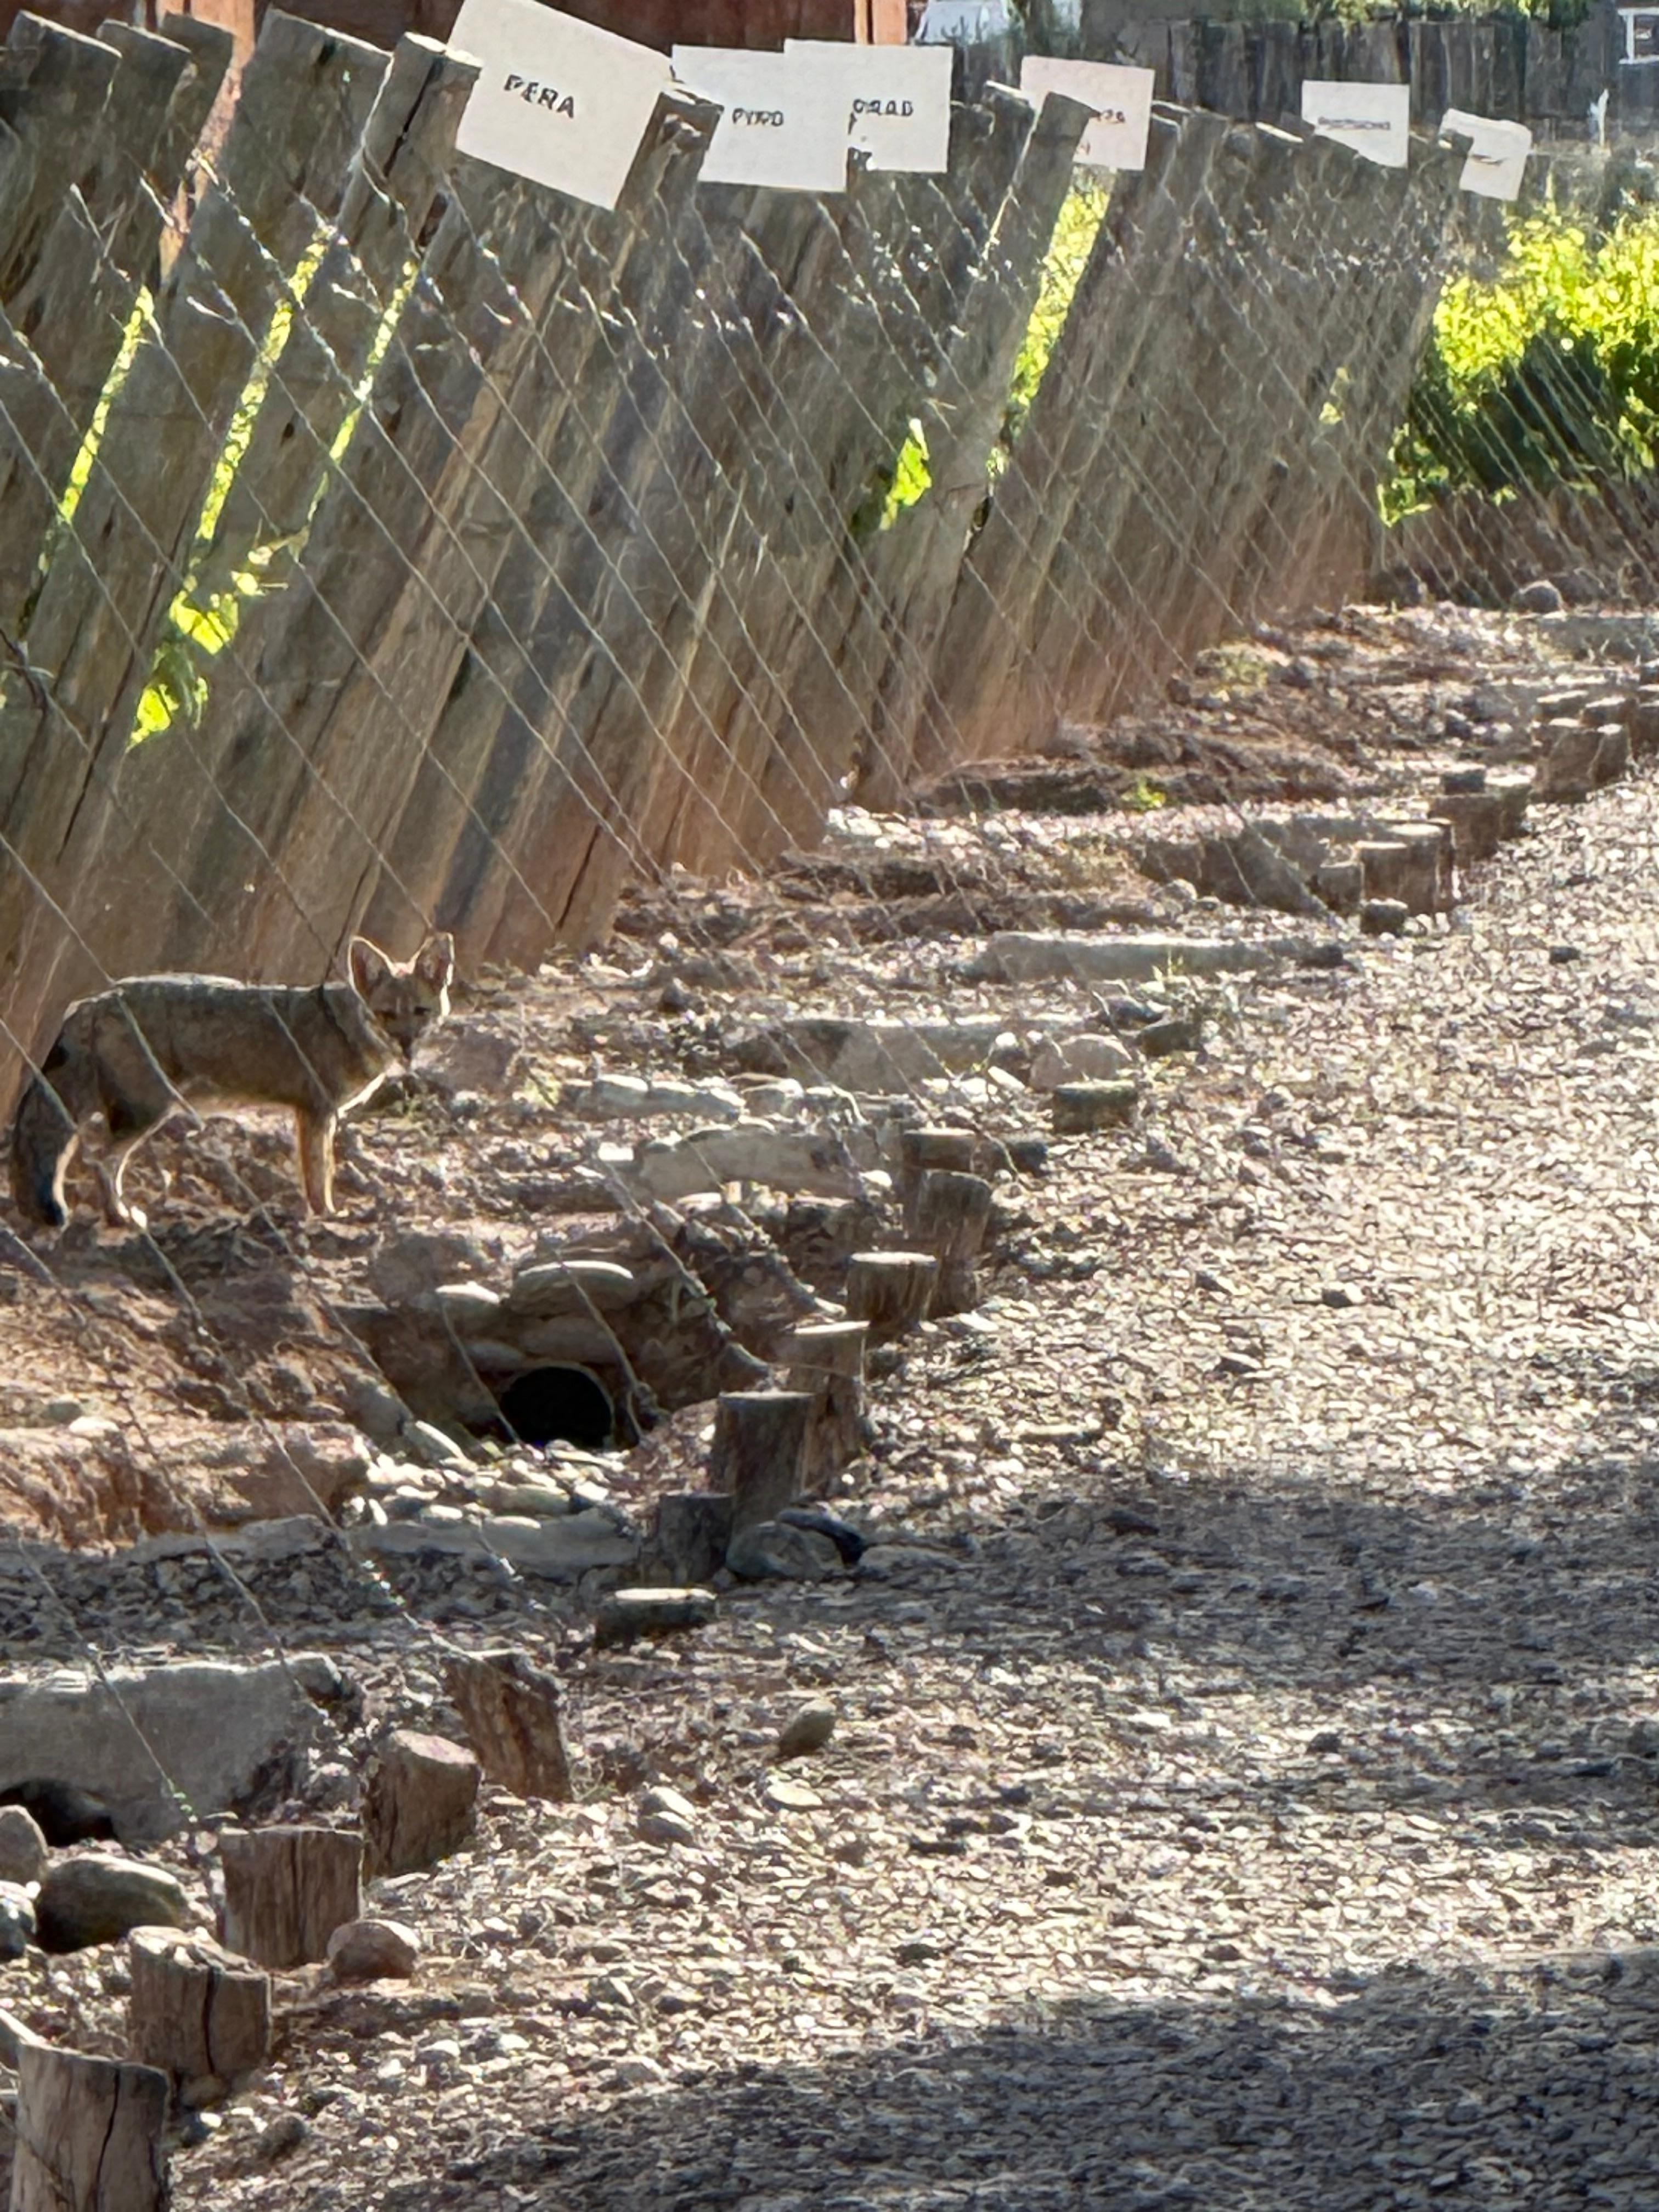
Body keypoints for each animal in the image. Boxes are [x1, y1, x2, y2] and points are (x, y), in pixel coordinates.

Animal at [9, 932, 455, 1232]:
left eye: (420, 1011)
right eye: (386, 1015)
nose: (407, 1047)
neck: (343, 1029)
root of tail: (96, 1001)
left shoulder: (311, 1114)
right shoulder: (318, 1112)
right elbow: (319, 1176)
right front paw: (327, 1215)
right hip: (150, 1111)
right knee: (102, 1160)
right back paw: (120, 1217)